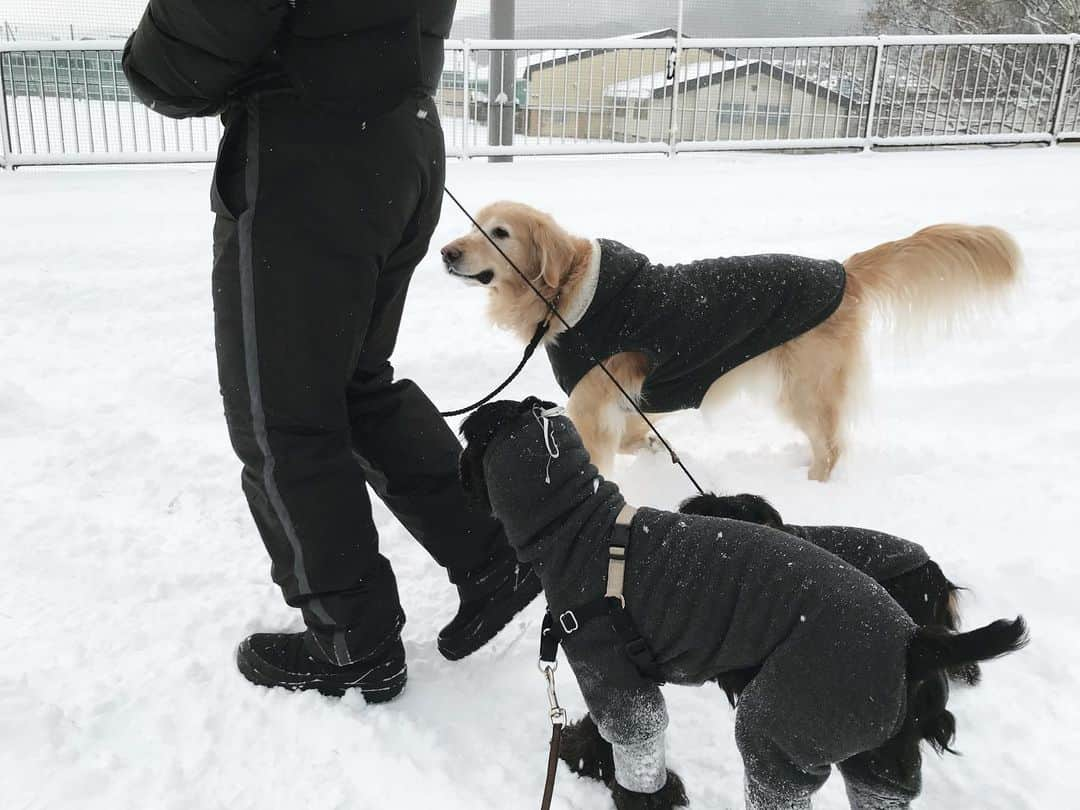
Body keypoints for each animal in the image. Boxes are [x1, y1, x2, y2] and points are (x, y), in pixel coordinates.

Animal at [457, 401, 1028, 810]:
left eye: (467, 440)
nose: (458, 470)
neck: (581, 526)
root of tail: (914, 643)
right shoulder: (625, 674)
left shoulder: (612, 674)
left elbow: (633, 746)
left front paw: (632, 788)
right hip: (878, 757)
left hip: (779, 731)